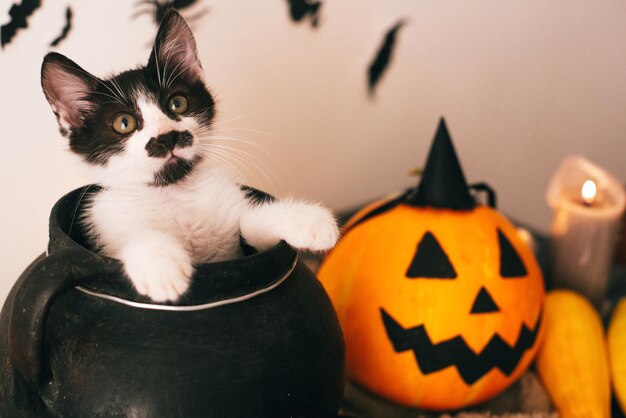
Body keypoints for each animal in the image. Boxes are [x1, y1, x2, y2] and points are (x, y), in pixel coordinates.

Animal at [41, 9, 338, 302]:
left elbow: (253, 230)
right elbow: (130, 241)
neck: (173, 194)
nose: (167, 136)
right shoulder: (106, 228)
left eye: (177, 103)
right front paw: (160, 265)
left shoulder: (239, 246)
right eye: (123, 123)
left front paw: (307, 221)